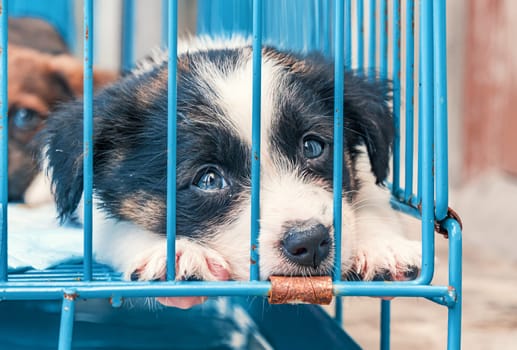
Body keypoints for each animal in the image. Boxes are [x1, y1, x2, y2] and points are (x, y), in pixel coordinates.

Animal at [40, 37, 420, 306]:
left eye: (312, 147)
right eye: (208, 179)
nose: (310, 241)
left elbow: (371, 202)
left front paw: (383, 246)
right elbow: (115, 229)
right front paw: (176, 252)